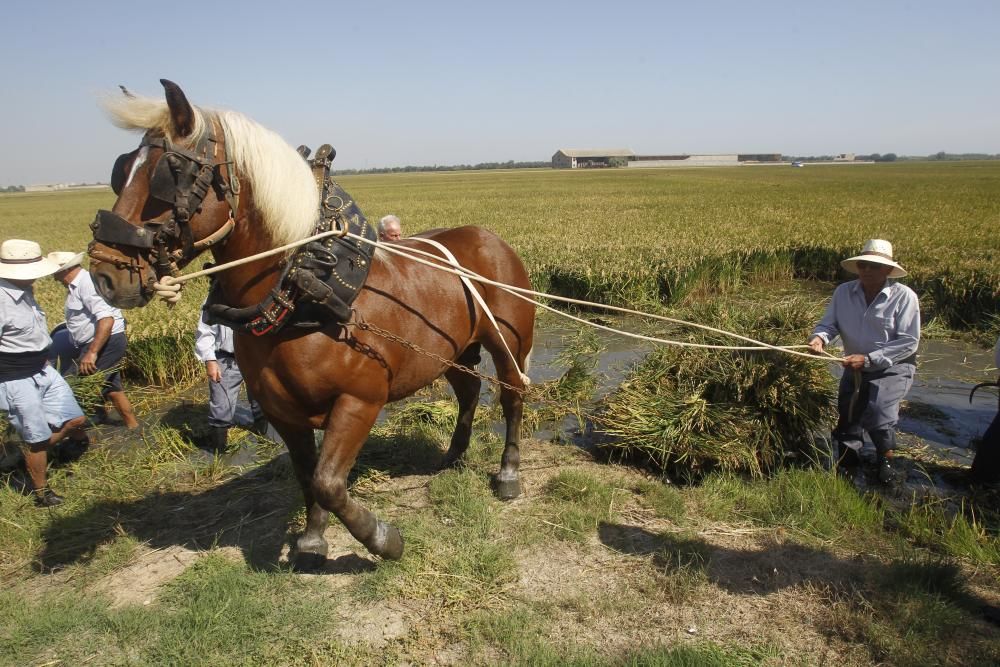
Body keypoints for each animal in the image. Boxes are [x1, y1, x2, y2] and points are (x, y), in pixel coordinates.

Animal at [90, 79, 536, 568]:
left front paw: (383, 539)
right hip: (451, 352)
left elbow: (328, 481)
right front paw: (312, 539)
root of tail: (492, 239)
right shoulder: (283, 410)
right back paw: (454, 454)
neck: (305, 292)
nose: (104, 273)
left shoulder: (359, 401)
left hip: (508, 343)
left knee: (512, 396)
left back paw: (508, 472)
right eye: (121, 170)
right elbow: (308, 477)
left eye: (170, 172)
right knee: (469, 390)